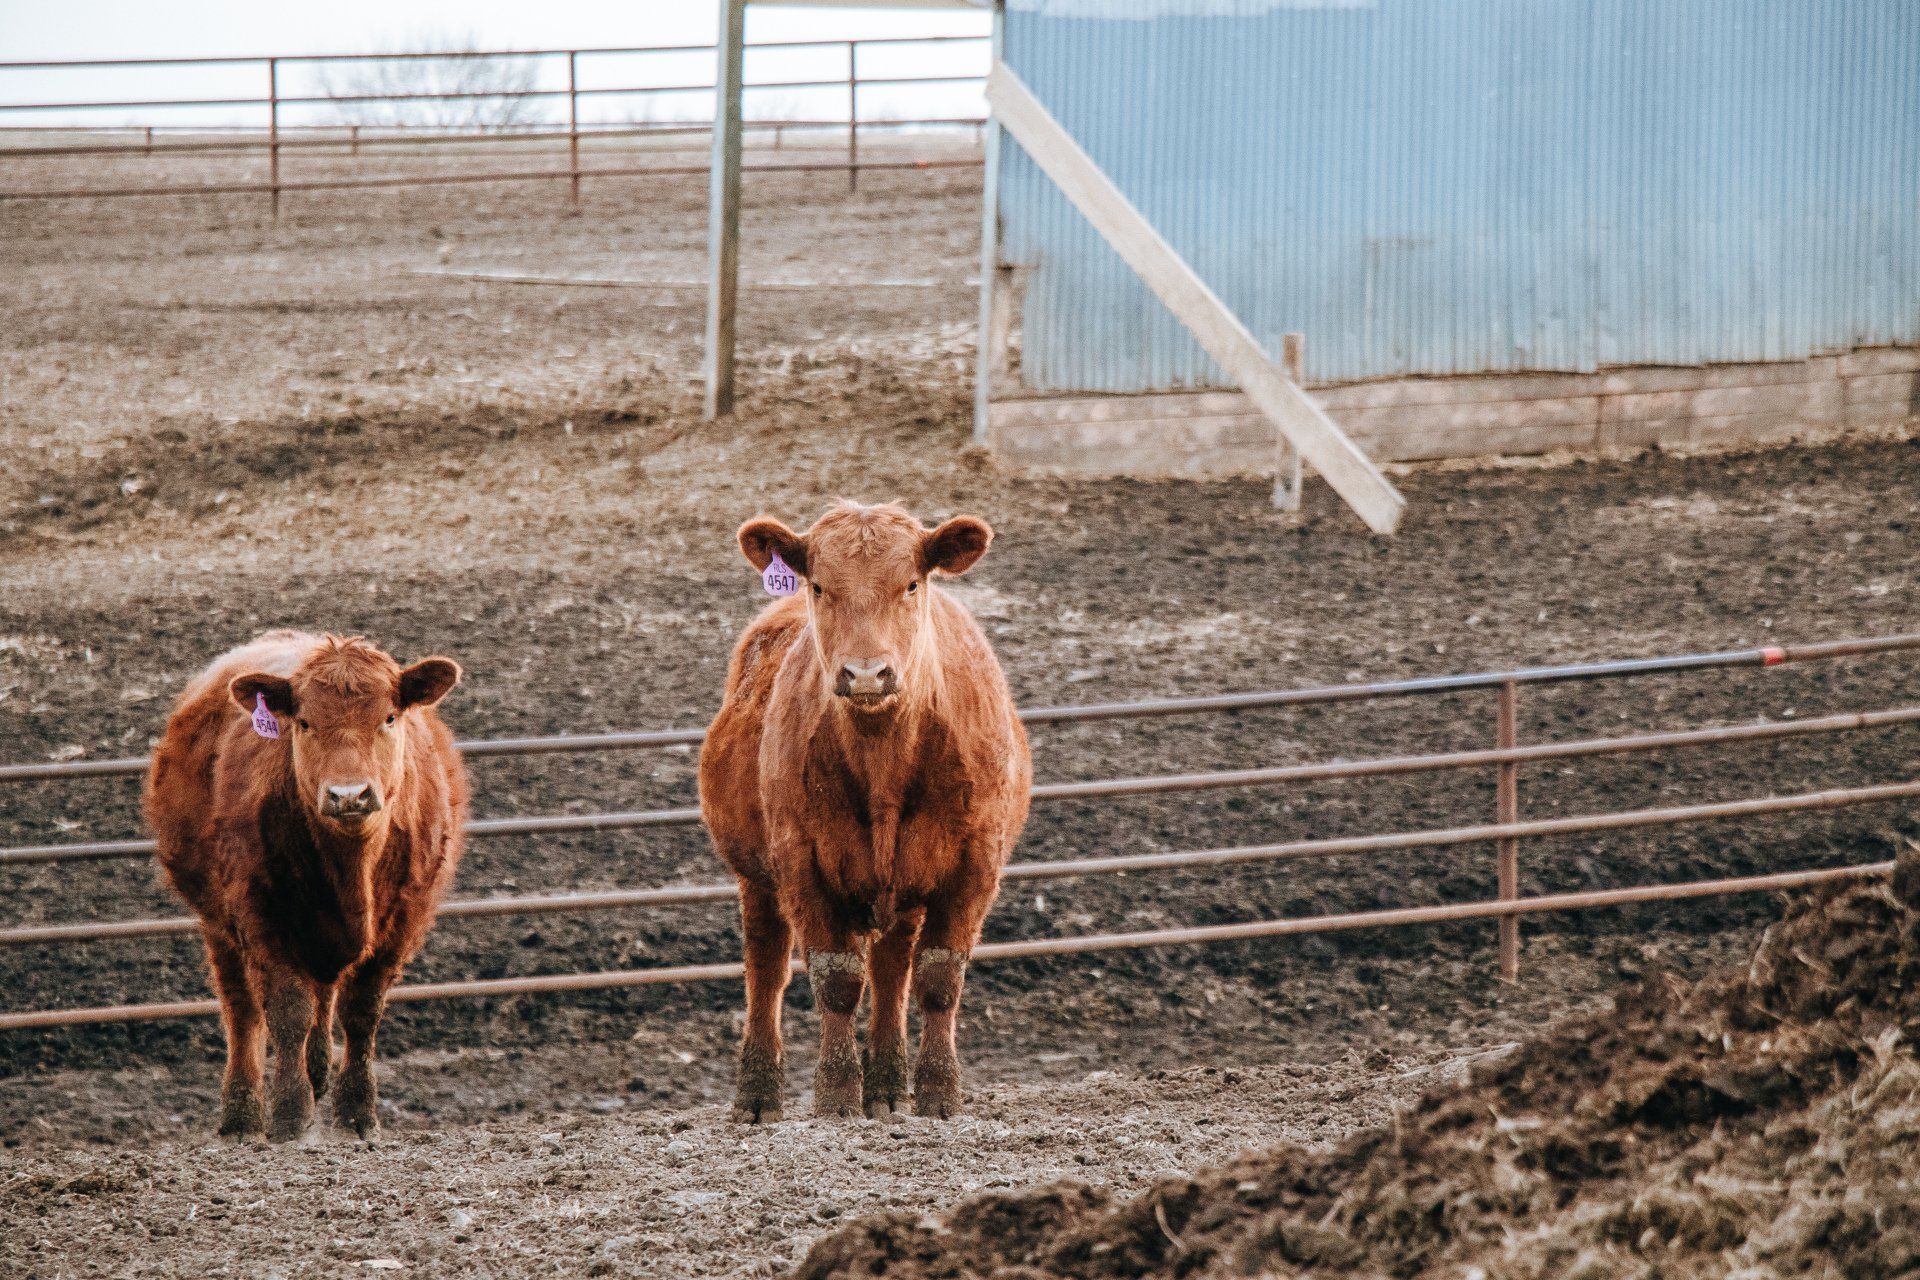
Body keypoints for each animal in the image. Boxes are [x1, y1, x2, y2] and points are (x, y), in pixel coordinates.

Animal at [144, 631, 468, 1143]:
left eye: (389, 717)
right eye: (305, 722)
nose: (349, 795)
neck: (350, 867)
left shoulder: (404, 920)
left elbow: (361, 1010)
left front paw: (356, 1113)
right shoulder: (261, 913)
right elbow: (287, 1011)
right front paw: (291, 1114)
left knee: (325, 994)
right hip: (217, 922)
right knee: (242, 1010)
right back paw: (242, 1116)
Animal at [700, 502, 1032, 1122]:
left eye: (911, 583)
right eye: (820, 585)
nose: (867, 674)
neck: (884, 763)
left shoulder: (976, 864)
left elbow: (939, 977)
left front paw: (939, 1093)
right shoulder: (802, 862)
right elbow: (835, 980)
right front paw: (835, 1096)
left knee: (892, 968)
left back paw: (888, 1087)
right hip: (755, 874)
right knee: (767, 968)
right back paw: (758, 1095)